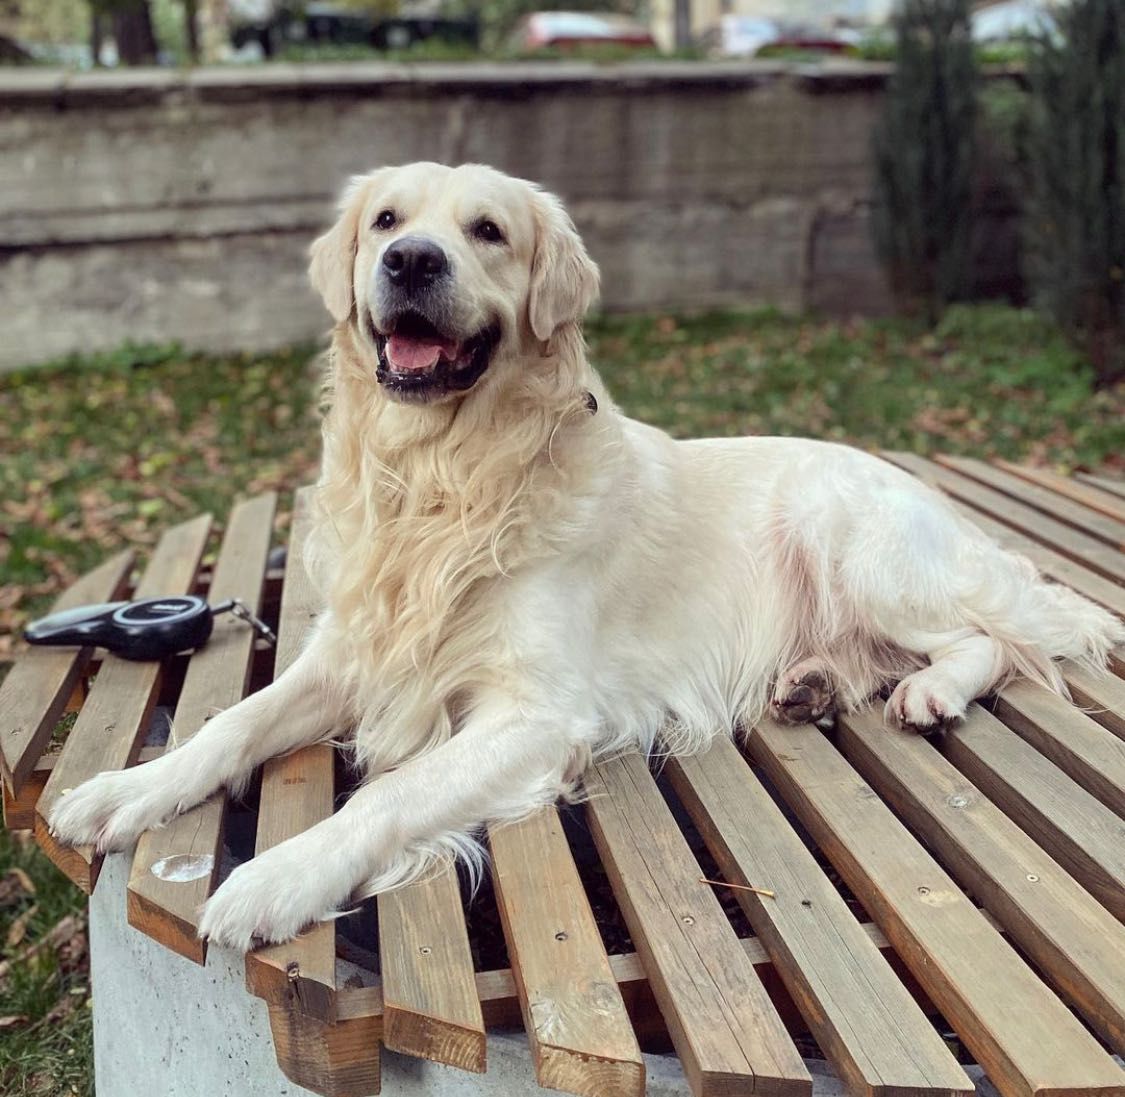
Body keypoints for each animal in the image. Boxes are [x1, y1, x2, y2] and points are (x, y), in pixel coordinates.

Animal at [50, 163, 1125, 954]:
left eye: (487, 231)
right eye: (386, 219)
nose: (408, 260)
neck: (444, 481)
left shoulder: (537, 713)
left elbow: (393, 791)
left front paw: (274, 876)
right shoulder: (354, 652)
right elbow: (231, 723)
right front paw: (124, 790)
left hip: (853, 540)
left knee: (997, 636)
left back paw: (932, 690)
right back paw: (812, 682)